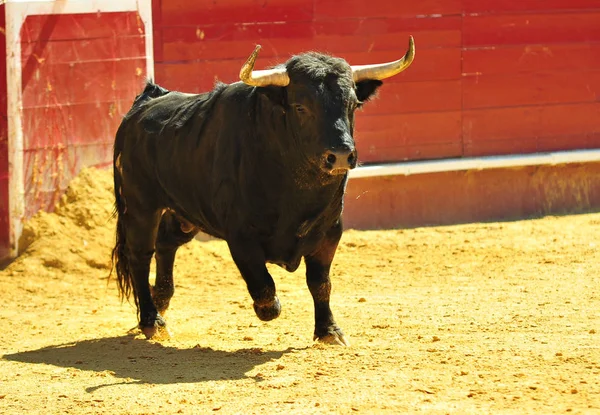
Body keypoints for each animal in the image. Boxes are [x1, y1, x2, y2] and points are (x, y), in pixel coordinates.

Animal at [110, 38, 414, 344]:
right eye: (300, 107)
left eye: (352, 104)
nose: (340, 155)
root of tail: (144, 103)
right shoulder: (240, 236)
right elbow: (263, 283)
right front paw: (269, 308)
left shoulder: (329, 232)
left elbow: (320, 283)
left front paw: (329, 331)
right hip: (140, 206)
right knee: (140, 254)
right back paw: (151, 321)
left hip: (184, 213)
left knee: (166, 243)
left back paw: (160, 302)